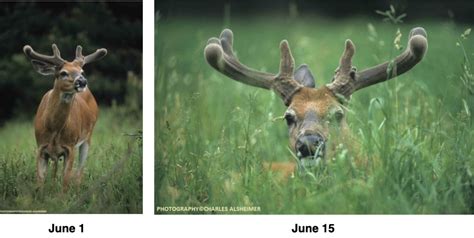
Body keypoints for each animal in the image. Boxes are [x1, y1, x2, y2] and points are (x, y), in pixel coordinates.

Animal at [23, 43, 107, 191]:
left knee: (80, 171)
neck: (53, 129)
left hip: (88, 137)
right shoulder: (40, 147)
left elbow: (65, 182)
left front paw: (62, 196)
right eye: (63, 73)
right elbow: (40, 182)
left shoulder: (70, 147)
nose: (82, 81)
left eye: (82, 71)